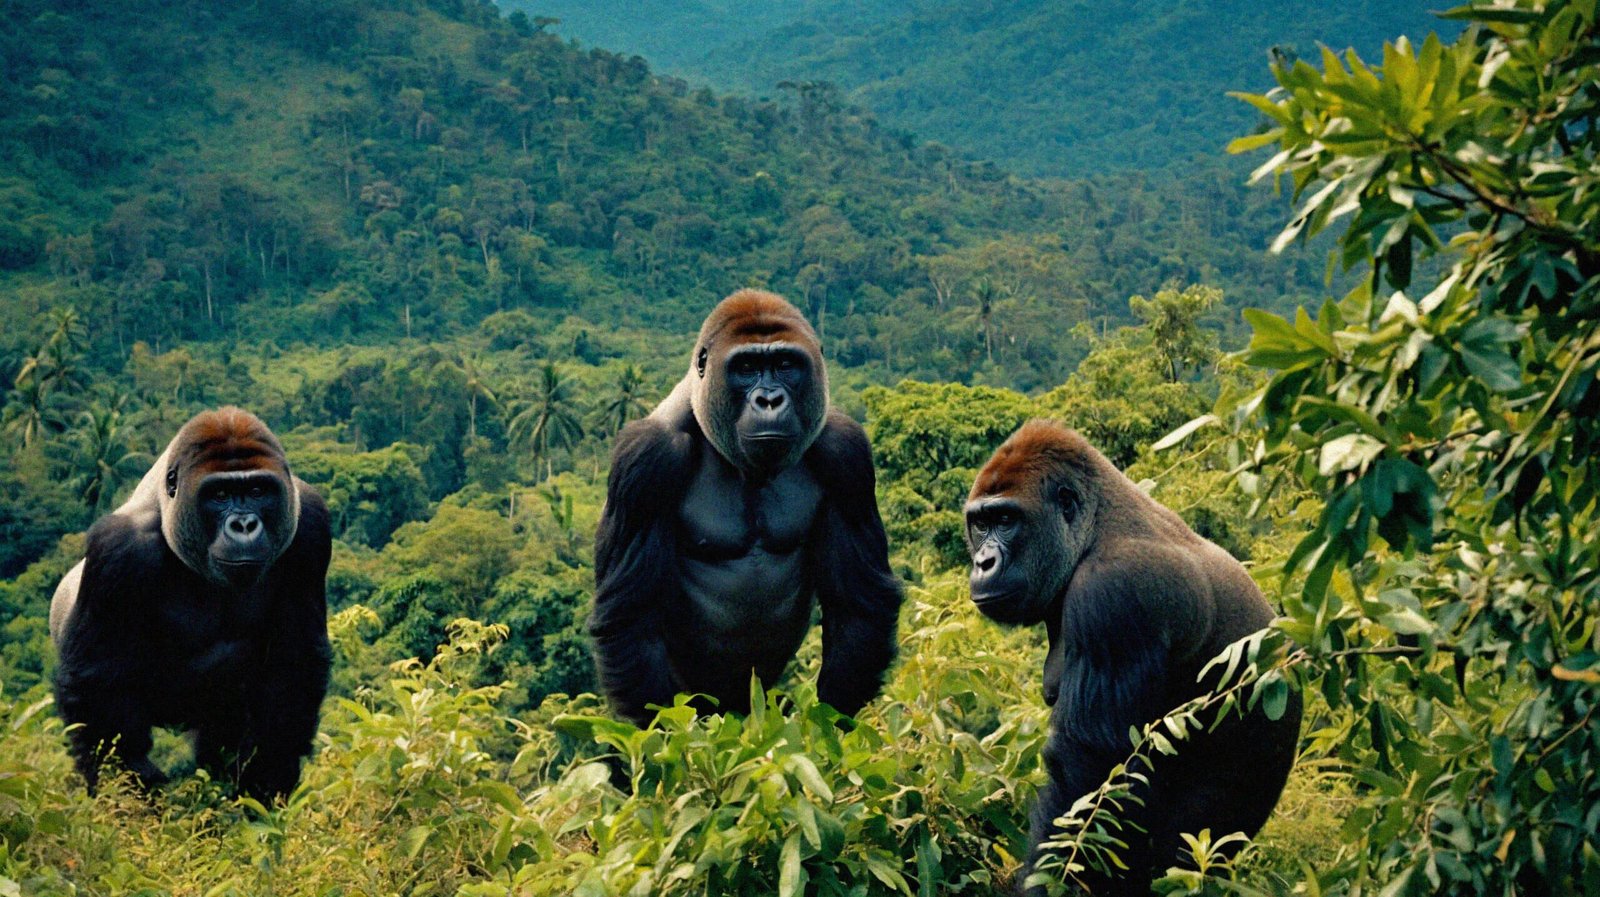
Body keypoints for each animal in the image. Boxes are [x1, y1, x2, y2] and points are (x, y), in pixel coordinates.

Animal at [50, 407, 332, 799]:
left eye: (257, 490)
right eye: (219, 494)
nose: (244, 524)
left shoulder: (309, 525)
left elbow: (293, 663)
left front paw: (266, 776)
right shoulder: (119, 550)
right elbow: (98, 687)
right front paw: (129, 792)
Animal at [589, 289, 902, 727]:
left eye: (785, 364)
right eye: (747, 367)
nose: (769, 400)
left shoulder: (846, 451)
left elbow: (859, 603)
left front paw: (823, 726)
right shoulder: (645, 459)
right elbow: (631, 618)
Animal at [965, 420, 1301, 895]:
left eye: (1007, 520)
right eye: (980, 523)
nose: (983, 562)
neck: (1092, 527)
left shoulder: (1112, 594)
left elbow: (1088, 775)